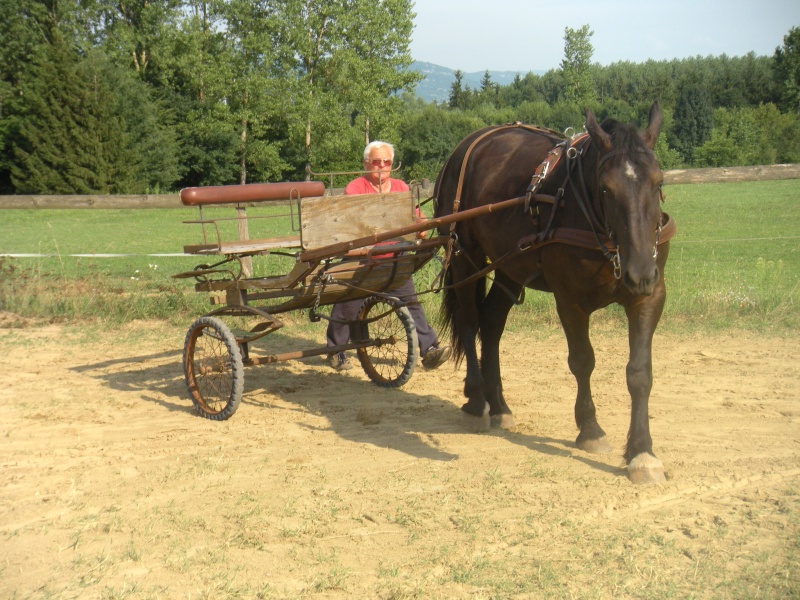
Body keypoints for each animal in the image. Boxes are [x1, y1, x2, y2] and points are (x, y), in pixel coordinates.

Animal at [434, 99, 672, 482]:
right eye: (606, 188)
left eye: (658, 181)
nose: (639, 272)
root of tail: (469, 143)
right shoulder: (570, 301)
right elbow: (583, 361)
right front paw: (590, 428)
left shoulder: (649, 297)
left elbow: (639, 373)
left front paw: (642, 452)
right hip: (464, 256)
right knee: (470, 322)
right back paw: (477, 400)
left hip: (510, 265)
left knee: (491, 323)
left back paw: (499, 404)